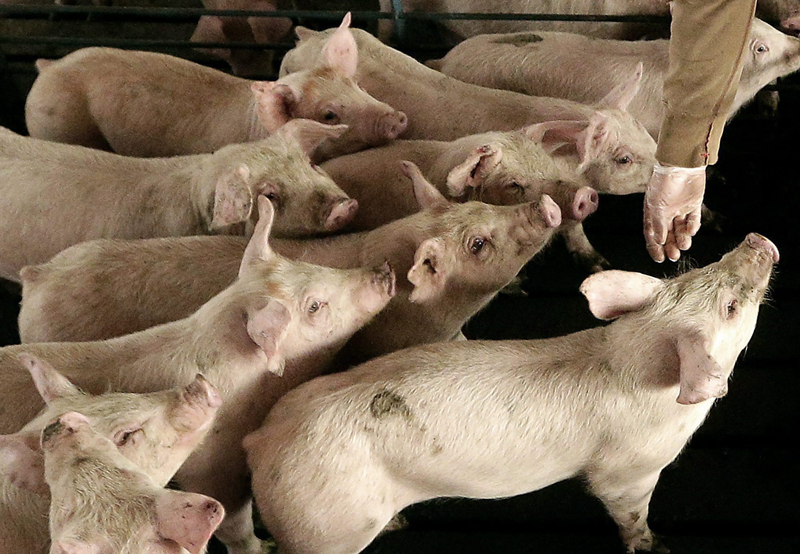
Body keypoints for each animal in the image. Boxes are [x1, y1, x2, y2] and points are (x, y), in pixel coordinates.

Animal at [245, 232, 779, 554]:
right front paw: (656, 545)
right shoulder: (629, 470)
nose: (758, 239)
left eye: (697, 270)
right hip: (321, 528)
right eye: (731, 307)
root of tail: (261, 441)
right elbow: (628, 510)